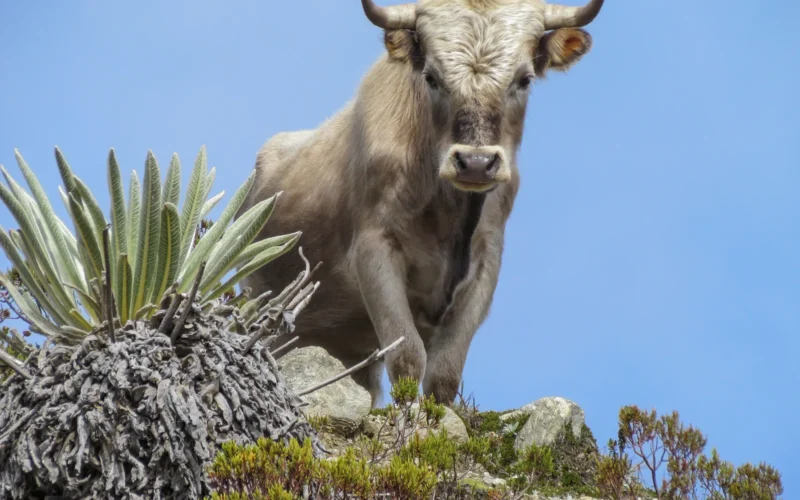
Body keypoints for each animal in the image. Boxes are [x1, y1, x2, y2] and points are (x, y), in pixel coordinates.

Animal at [238, 0, 606, 407]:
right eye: (431, 77)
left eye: (524, 79)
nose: (475, 162)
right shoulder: (374, 249)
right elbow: (407, 358)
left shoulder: (487, 261)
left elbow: (444, 373)